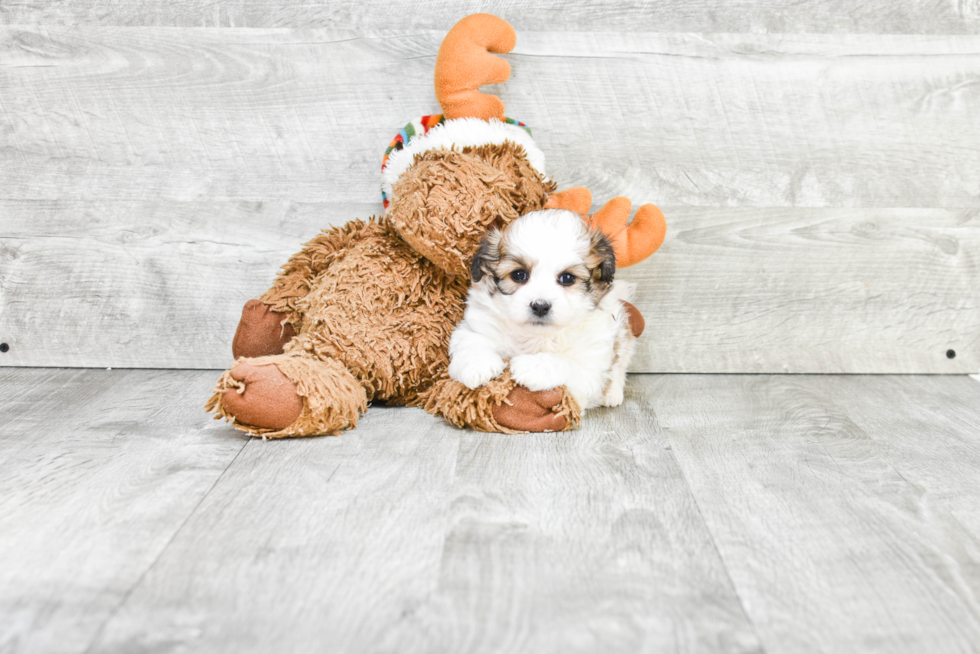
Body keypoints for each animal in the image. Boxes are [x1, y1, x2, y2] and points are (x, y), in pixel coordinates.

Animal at [450, 210, 640, 416]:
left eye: (567, 278)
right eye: (518, 275)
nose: (540, 306)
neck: (537, 335)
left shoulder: (590, 366)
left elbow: (566, 364)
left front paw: (533, 366)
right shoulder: (478, 324)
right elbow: (470, 341)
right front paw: (478, 365)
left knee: (620, 365)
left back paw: (613, 394)